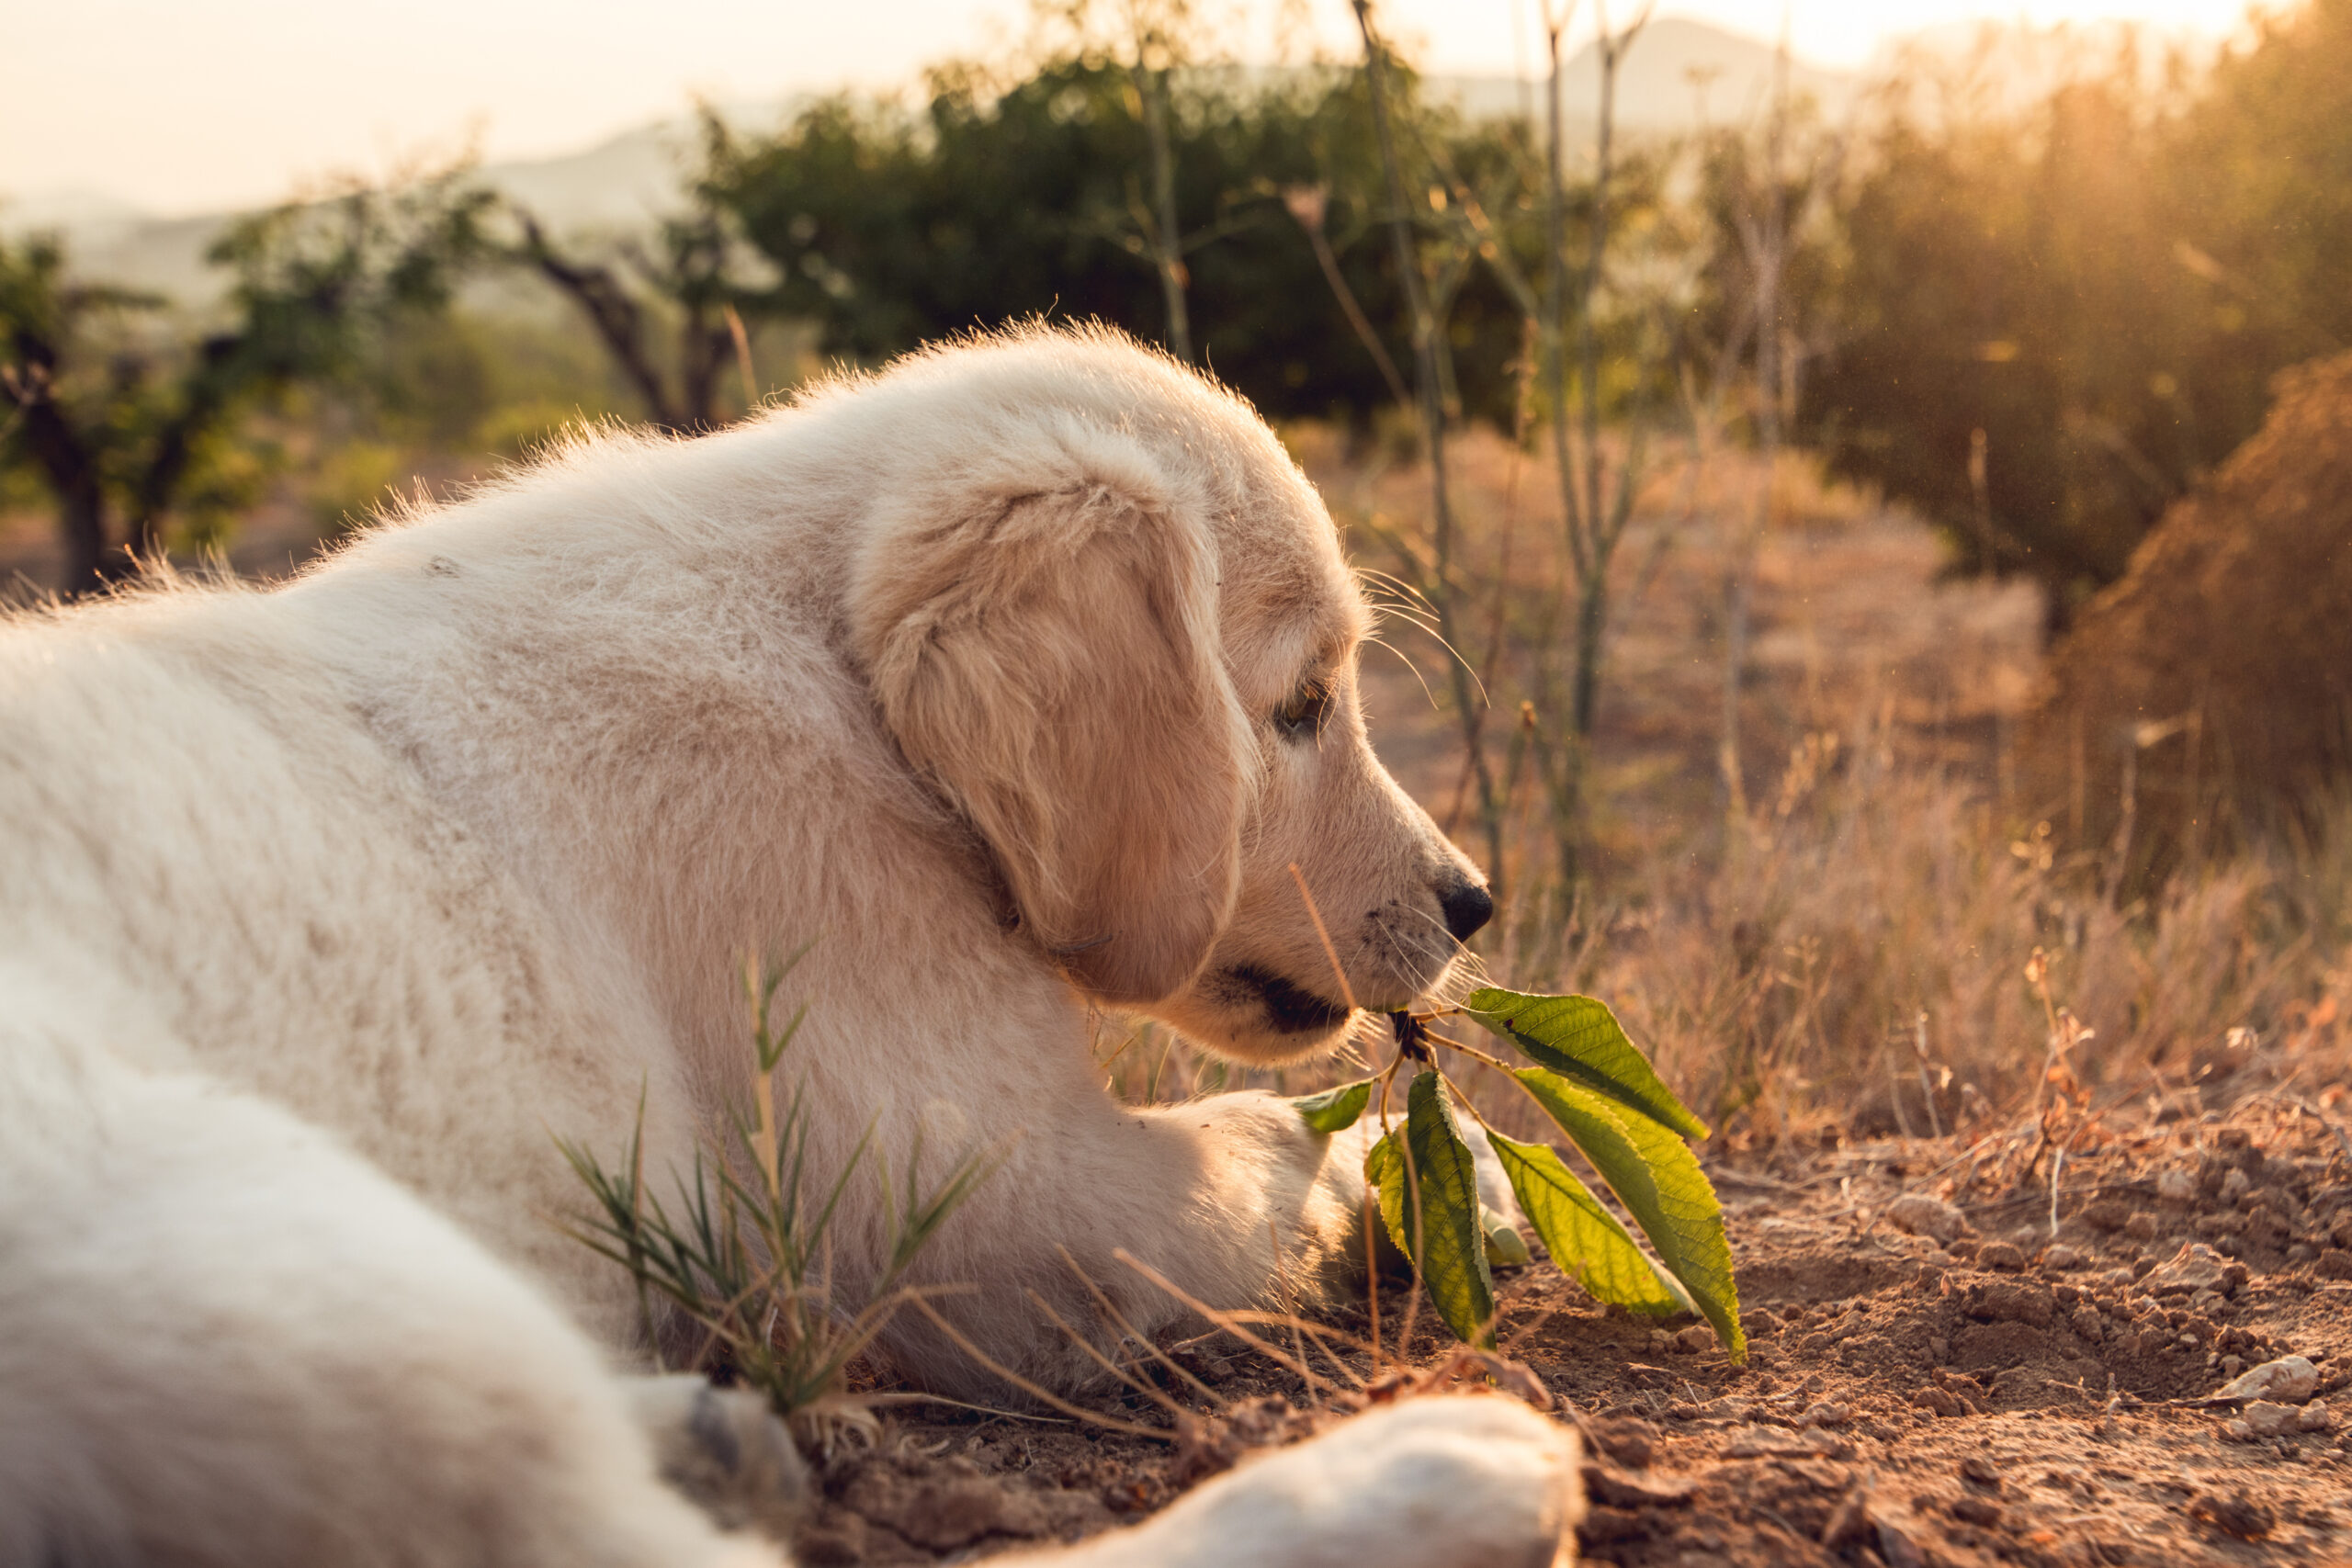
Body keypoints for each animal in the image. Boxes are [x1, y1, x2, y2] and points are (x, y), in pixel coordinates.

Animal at [5, 331, 1580, 1568]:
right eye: (1300, 705)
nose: (1472, 902)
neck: (832, 661)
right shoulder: (1002, 1210)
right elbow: (1272, 1144)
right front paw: (1459, 1171)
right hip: (289, 1277)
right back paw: (1438, 1475)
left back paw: (707, 1435)